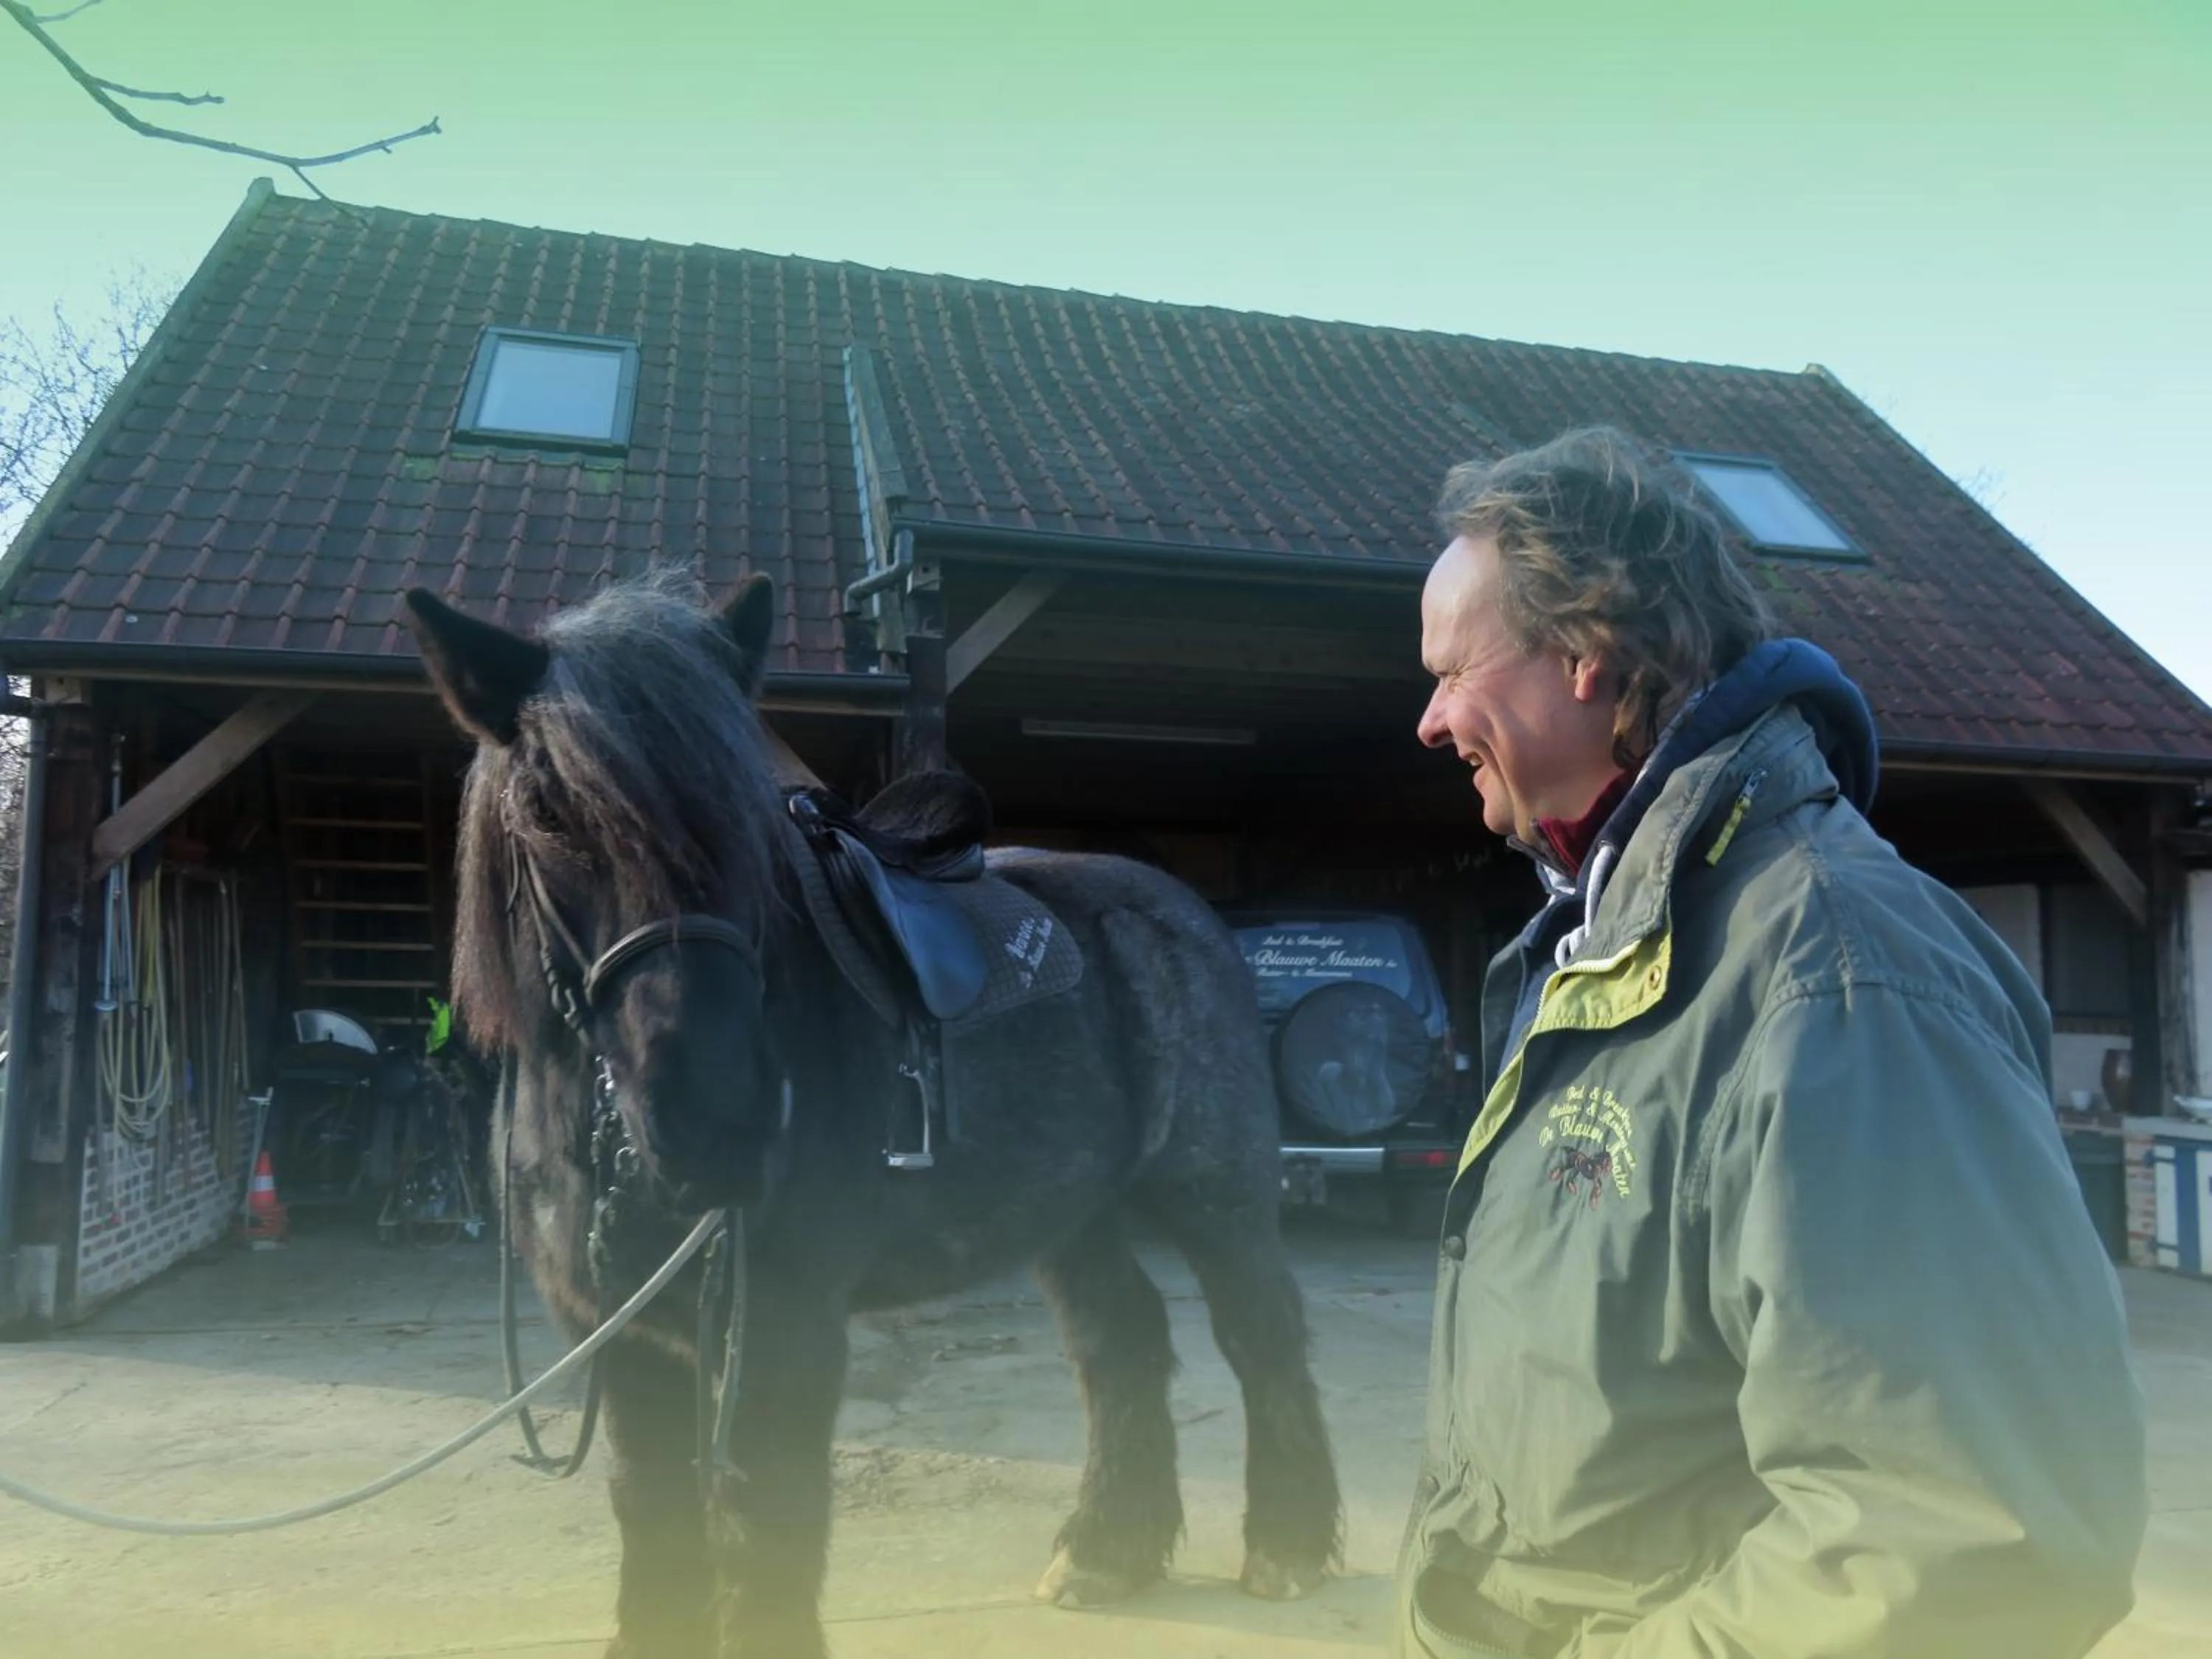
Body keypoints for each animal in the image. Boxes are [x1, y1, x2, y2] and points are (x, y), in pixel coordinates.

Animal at [399, 570, 1342, 1659]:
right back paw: (1109, 1550)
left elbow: (765, 1525)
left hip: (1214, 1196)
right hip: (1073, 1215)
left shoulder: (781, 1326)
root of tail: (1184, 912)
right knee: (1123, 1340)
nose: (722, 1124)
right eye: (549, 810)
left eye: (750, 815)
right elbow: (655, 1514)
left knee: (1262, 1335)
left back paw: (1285, 1546)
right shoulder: (619, 1337)